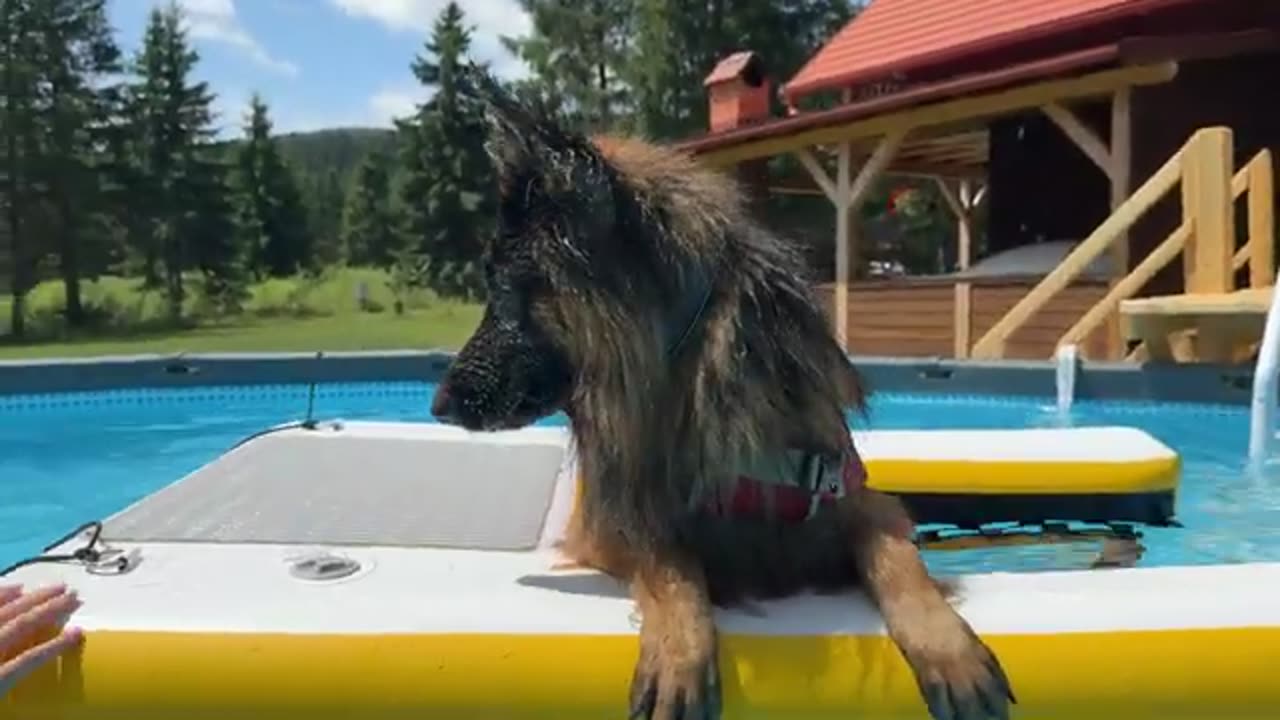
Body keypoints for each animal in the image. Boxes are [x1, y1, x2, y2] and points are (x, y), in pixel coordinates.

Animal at [435, 65, 1013, 717]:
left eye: (507, 289)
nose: (438, 404)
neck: (691, 376)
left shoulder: (851, 501)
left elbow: (894, 551)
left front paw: (947, 647)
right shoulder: (617, 530)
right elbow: (671, 560)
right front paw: (679, 652)